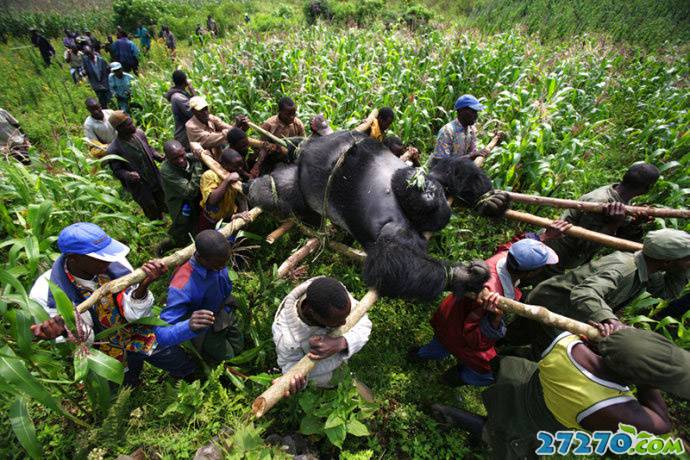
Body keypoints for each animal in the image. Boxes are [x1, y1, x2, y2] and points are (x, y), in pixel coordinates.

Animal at [250, 131, 508, 300]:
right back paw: (260, 186)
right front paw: (461, 276)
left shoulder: (429, 179)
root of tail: (303, 149)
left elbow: (452, 168)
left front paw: (488, 201)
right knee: (278, 191)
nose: (427, 192)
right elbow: (390, 263)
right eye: (426, 191)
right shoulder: (399, 223)